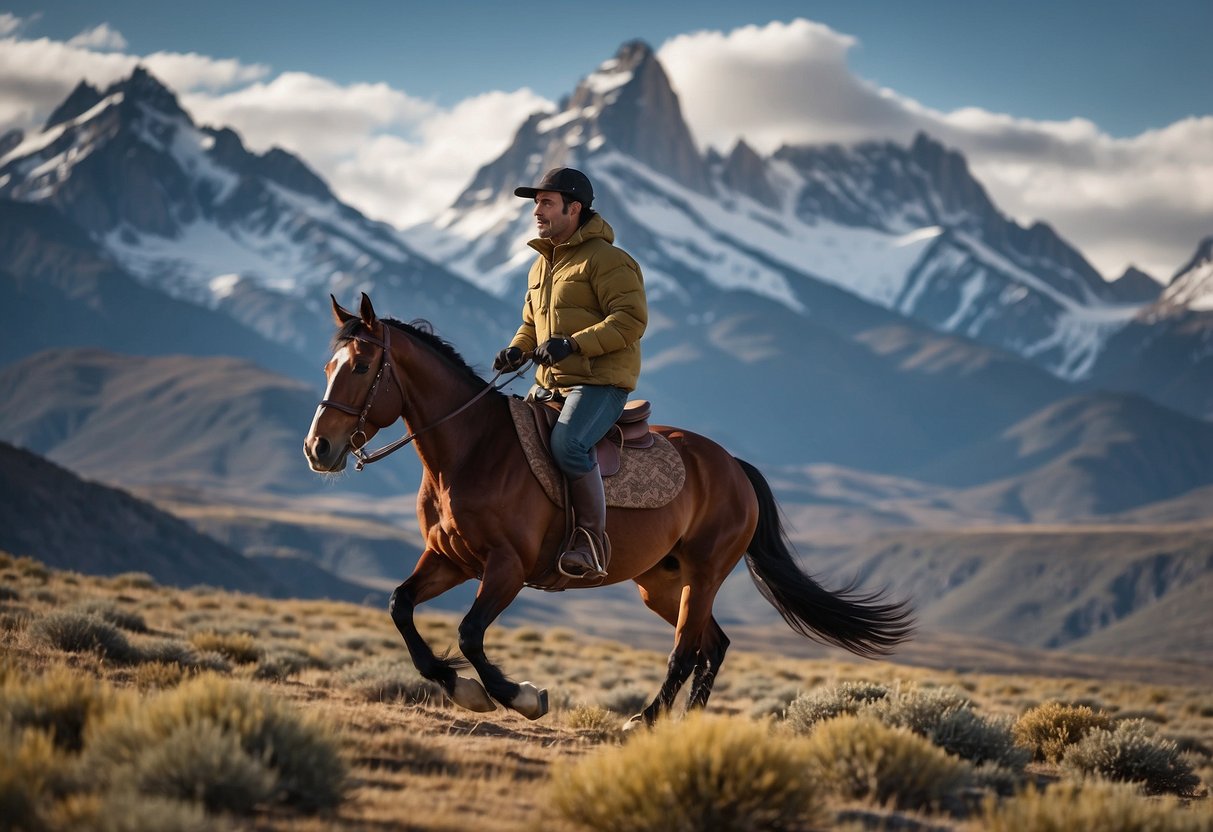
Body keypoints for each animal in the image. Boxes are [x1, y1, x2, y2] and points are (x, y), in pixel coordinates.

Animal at [303, 297, 912, 727]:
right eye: (328, 364)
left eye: (361, 366)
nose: (318, 449)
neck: (473, 450)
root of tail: (733, 466)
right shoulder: (450, 560)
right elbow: (400, 606)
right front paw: (464, 690)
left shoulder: (507, 568)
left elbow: (472, 632)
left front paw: (519, 697)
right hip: (660, 583)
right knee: (712, 645)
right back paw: (684, 726)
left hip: (704, 574)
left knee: (686, 650)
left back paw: (645, 720)